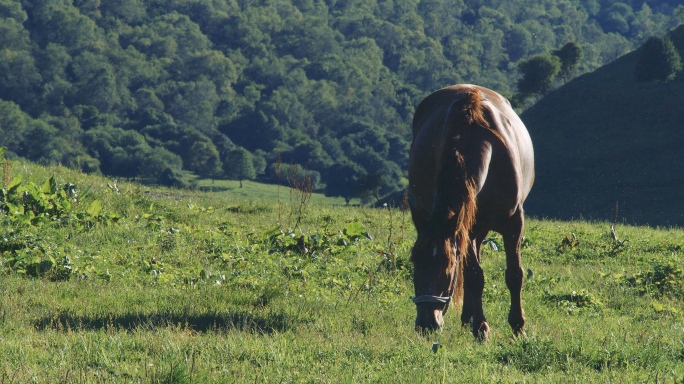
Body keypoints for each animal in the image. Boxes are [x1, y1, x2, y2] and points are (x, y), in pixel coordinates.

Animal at [406, 84, 536, 340]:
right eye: (414, 262)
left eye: (447, 267)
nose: (426, 323)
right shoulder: (467, 226)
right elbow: (475, 276)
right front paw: (481, 327)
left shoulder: (514, 223)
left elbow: (514, 274)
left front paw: (518, 326)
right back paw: (470, 318)